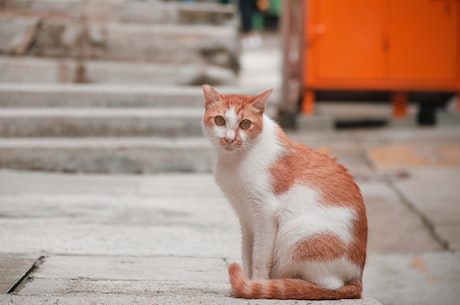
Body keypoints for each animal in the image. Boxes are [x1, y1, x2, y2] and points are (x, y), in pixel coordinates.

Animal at [201, 84, 366, 298]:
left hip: (298, 233)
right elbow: (247, 254)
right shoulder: (246, 218)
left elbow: (260, 256)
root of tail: (358, 276)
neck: (235, 160)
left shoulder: (264, 213)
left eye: (245, 124)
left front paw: (257, 283)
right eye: (220, 120)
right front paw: (247, 282)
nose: (229, 139)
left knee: (329, 285)